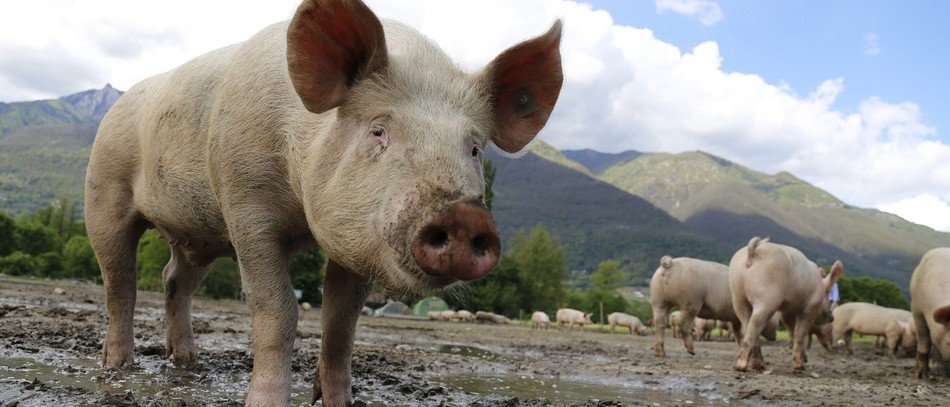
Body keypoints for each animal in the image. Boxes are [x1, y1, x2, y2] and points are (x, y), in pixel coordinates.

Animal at [82, 0, 564, 405]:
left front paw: (338, 401)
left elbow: (342, 324)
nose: (464, 215)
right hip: (104, 190)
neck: (302, 218)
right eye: (378, 130)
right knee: (120, 281)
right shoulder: (246, 208)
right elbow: (278, 311)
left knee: (173, 280)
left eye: (475, 149)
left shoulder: (357, 243)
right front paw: (265, 403)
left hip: (197, 234)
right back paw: (117, 366)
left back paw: (186, 361)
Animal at [729, 237, 842, 372]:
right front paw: (800, 366)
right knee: (755, 325)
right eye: (829, 298)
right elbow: (800, 333)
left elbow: (792, 330)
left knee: (746, 323)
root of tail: (752, 253)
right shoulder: (810, 308)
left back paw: (759, 365)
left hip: (737, 295)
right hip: (766, 297)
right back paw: (742, 366)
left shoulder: (787, 310)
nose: (832, 317)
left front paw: (804, 359)